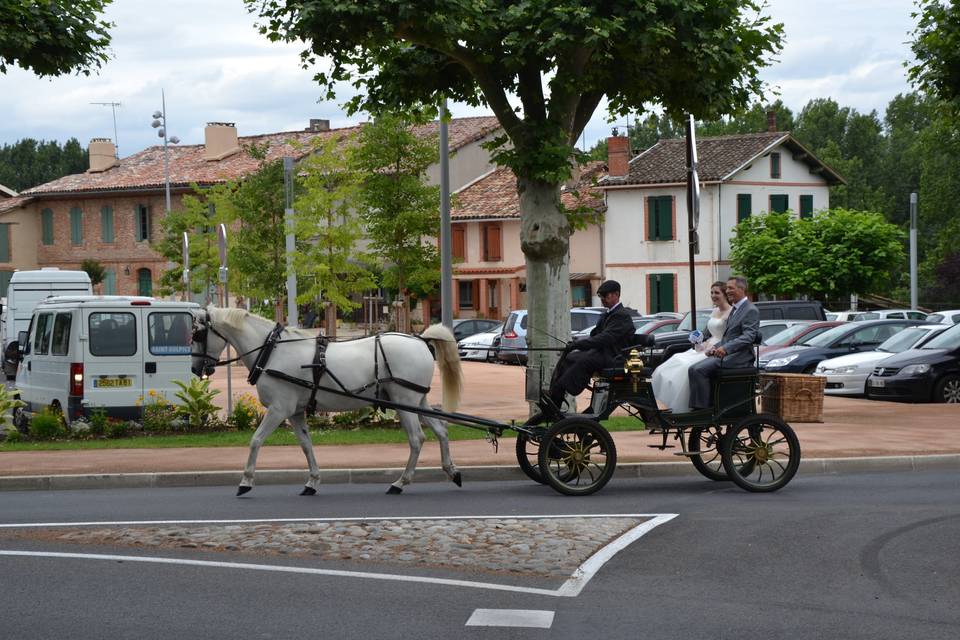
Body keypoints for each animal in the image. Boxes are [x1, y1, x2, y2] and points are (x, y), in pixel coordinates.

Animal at [193, 308, 464, 498]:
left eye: (198, 334)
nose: (196, 369)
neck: (272, 352)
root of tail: (420, 339)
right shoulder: (295, 412)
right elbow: (306, 445)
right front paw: (312, 482)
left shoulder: (279, 409)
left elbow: (256, 440)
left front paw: (246, 481)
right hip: (418, 400)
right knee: (441, 430)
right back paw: (452, 471)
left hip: (404, 400)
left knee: (417, 438)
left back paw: (400, 482)